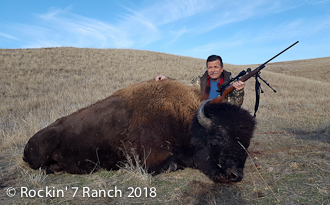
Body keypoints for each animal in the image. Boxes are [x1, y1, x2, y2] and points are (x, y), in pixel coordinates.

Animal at [23, 79, 255, 183]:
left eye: (246, 142)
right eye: (218, 137)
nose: (235, 175)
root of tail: (28, 144)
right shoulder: (152, 156)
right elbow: (171, 165)